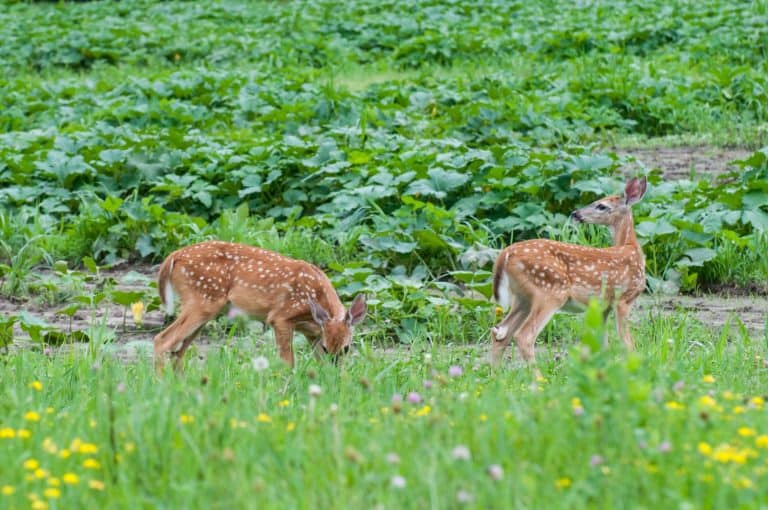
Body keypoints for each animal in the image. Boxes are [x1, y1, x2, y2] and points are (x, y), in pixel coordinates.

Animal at [153, 241, 367, 370]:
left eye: (346, 348)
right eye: (326, 347)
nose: (336, 367)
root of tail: (174, 256)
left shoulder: (312, 333)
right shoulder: (280, 317)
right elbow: (287, 362)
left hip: (205, 310)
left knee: (177, 351)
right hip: (201, 301)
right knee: (162, 340)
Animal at [490, 176, 648, 371]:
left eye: (601, 206)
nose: (575, 213)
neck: (631, 248)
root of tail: (505, 254)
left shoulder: (603, 306)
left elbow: (602, 343)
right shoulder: (624, 299)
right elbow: (626, 341)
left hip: (522, 297)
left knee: (501, 333)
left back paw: (496, 374)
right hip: (550, 291)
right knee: (523, 336)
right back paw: (539, 377)